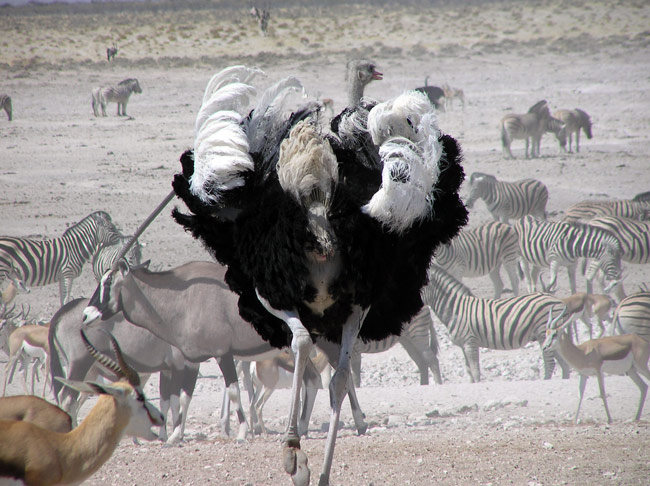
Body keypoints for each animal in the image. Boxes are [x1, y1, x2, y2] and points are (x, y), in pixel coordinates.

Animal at [420, 264, 568, 382]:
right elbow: (470, 373)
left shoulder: (470, 343)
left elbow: (475, 372)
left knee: (550, 364)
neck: (455, 308)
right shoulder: (463, 346)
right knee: (564, 365)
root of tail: (557, 300)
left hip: (543, 333)